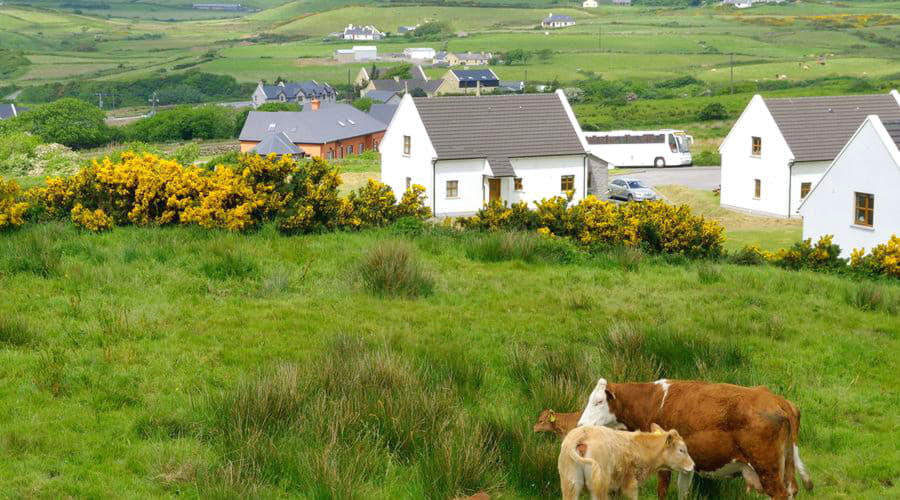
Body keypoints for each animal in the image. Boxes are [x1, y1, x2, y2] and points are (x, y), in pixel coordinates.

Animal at [576, 378, 816, 500]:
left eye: (598, 401)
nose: (580, 425)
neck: (652, 402)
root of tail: (776, 399)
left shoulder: (664, 463)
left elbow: (663, 491)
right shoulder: (685, 464)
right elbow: (683, 491)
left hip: (767, 469)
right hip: (785, 467)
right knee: (792, 490)